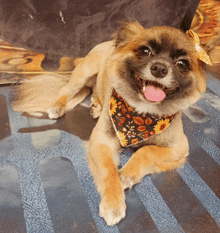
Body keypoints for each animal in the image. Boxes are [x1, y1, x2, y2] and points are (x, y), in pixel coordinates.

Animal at [12, 20, 209, 226]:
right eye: (145, 51)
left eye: (181, 63)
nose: (160, 68)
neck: (142, 114)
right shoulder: (101, 142)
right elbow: (109, 170)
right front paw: (113, 203)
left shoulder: (179, 148)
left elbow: (147, 151)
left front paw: (127, 174)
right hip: (84, 73)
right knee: (66, 90)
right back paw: (58, 107)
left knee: (91, 91)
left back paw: (96, 106)